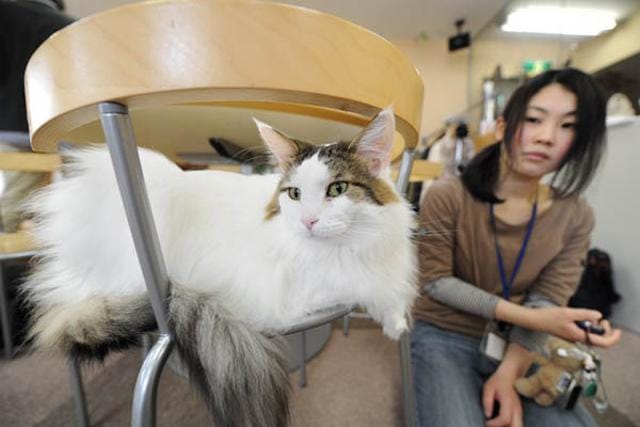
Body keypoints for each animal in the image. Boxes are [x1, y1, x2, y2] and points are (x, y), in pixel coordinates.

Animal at [23, 108, 416, 427]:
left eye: (337, 189)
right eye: (295, 194)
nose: (308, 221)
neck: (346, 247)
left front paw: (397, 321)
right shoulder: (301, 294)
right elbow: (365, 285)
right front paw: (393, 317)